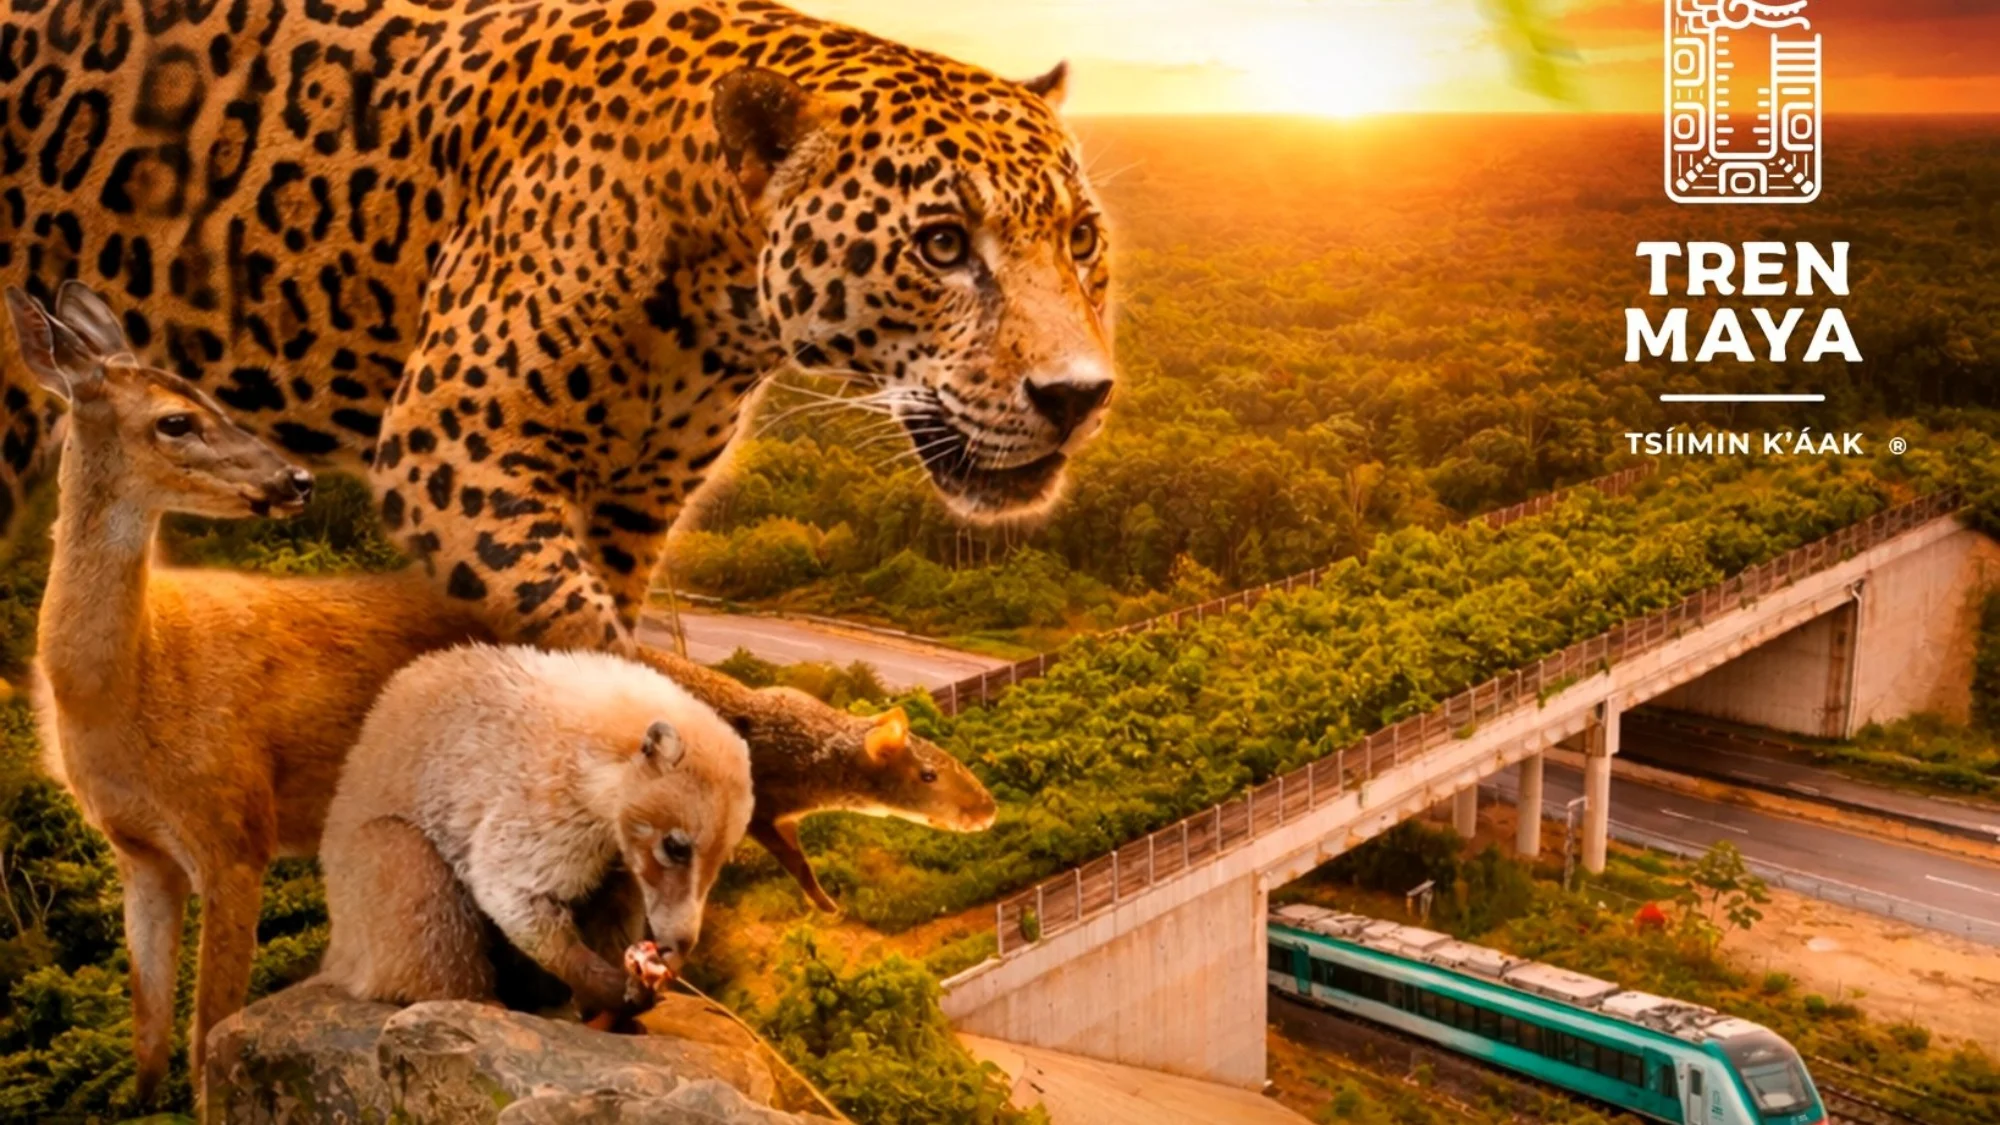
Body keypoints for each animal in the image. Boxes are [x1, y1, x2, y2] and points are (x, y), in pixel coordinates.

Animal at [0, 0, 1115, 657]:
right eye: (941, 244)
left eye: (1082, 238)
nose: (1078, 396)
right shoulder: (456, 449)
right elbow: (575, 644)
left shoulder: (632, 499)